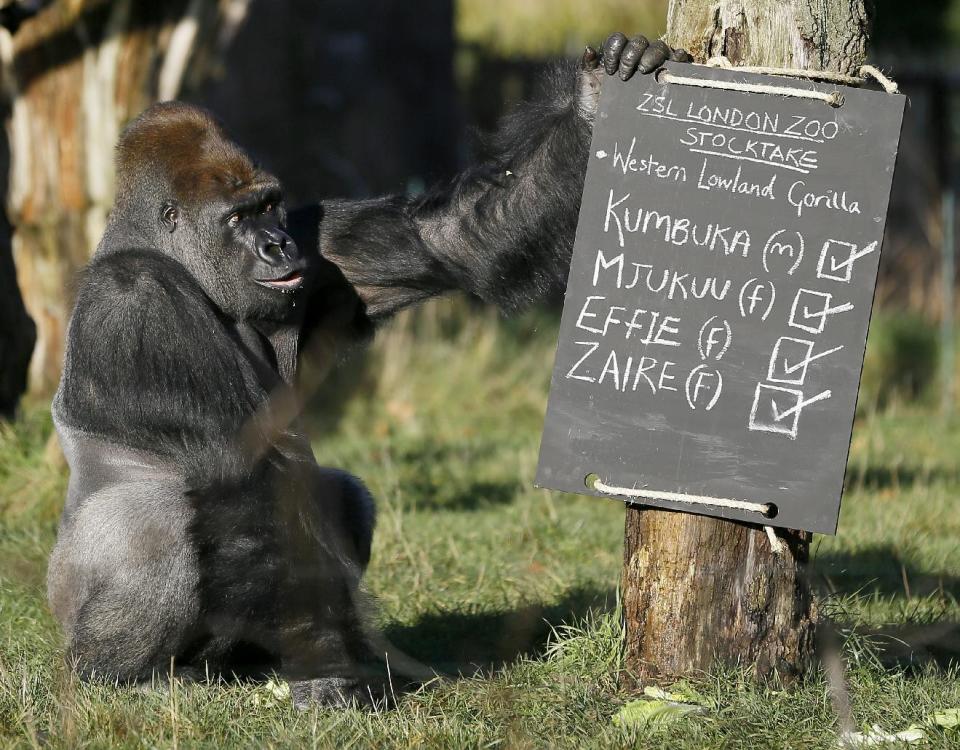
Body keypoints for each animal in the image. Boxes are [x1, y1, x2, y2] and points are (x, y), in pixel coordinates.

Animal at [48, 33, 688, 704]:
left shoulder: (314, 233)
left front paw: (599, 91)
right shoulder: (138, 298)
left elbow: (455, 238)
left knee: (341, 493)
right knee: (157, 525)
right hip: (83, 633)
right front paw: (331, 669)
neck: (172, 258)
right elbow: (249, 480)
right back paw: (129, 677)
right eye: (237, 218)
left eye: (270, 207)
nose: (276, 246)